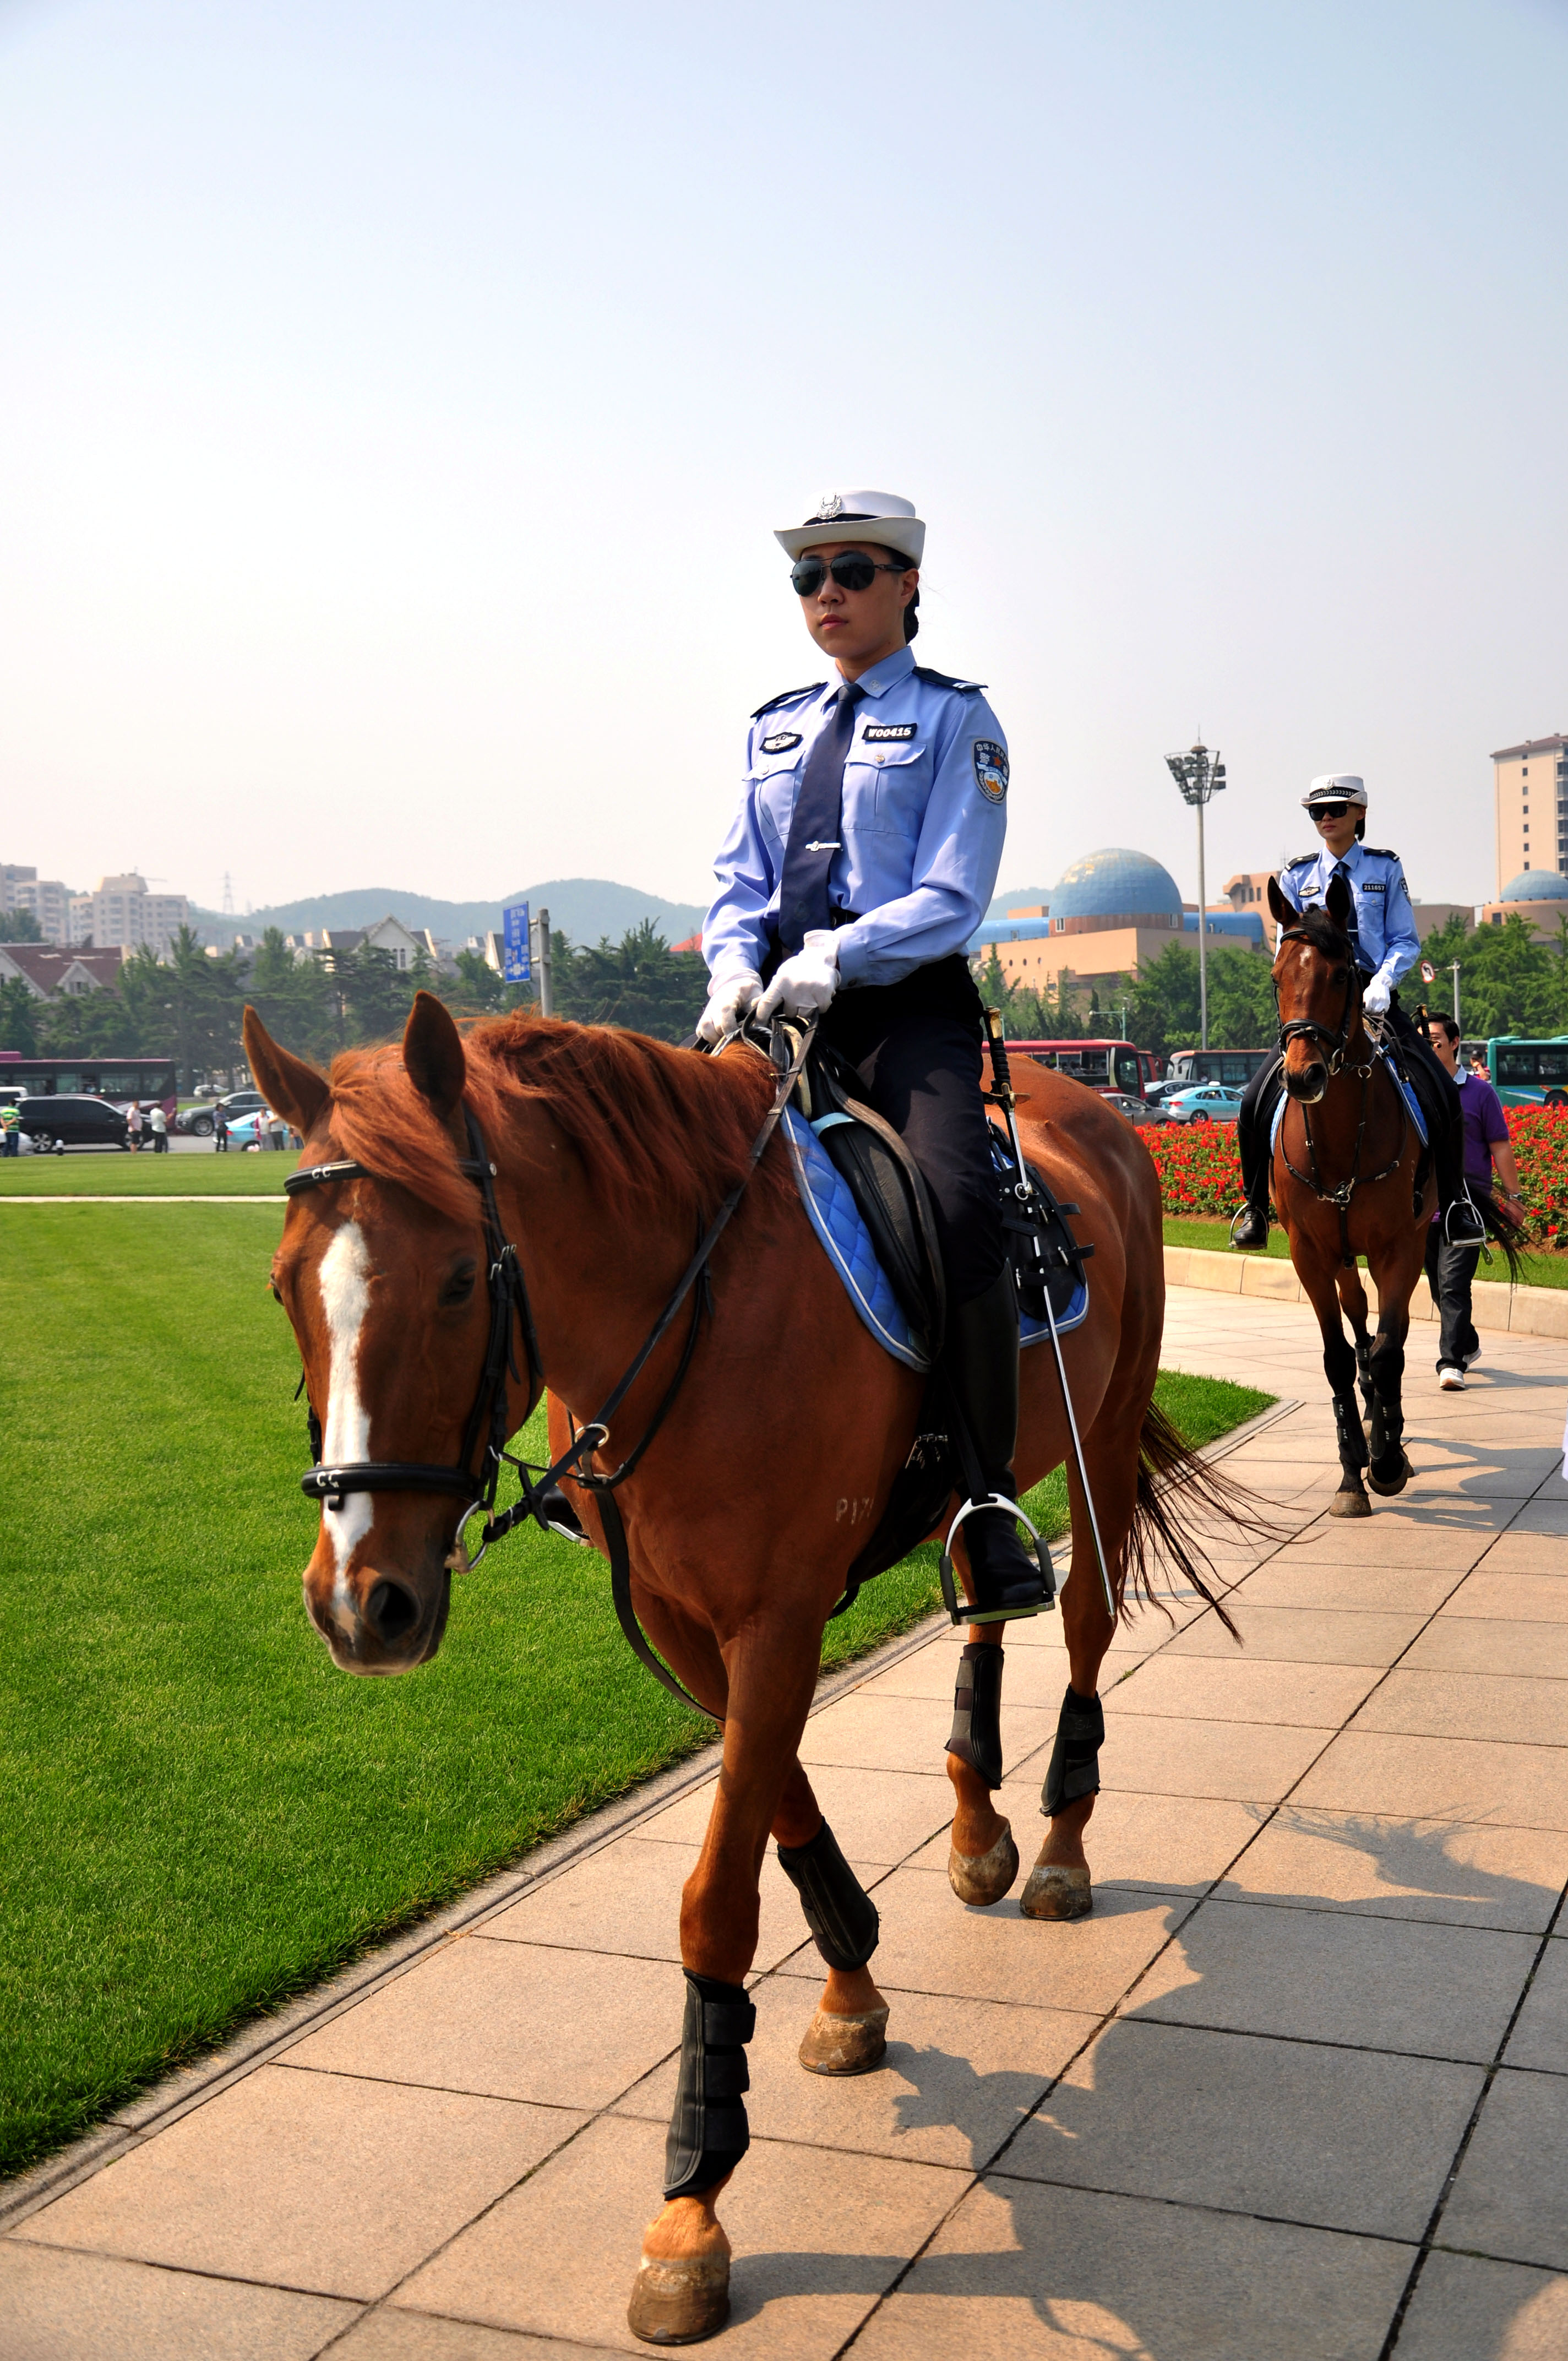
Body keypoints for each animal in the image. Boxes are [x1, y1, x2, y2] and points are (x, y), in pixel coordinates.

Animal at [246, 991, 1246, 2342]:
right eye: (283, 1286)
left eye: (459, 1279)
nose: (362, 1602)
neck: (690, 1310)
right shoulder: (685, 1622)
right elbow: (779, 1809)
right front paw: (849, 1983)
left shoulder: (776, 1618)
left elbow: (716, 1895)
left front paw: (691, 2200)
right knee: (982, 1596)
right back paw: (975, 1822)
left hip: (1109, 1418)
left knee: (1085, 1622)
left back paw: (1055, 1846)